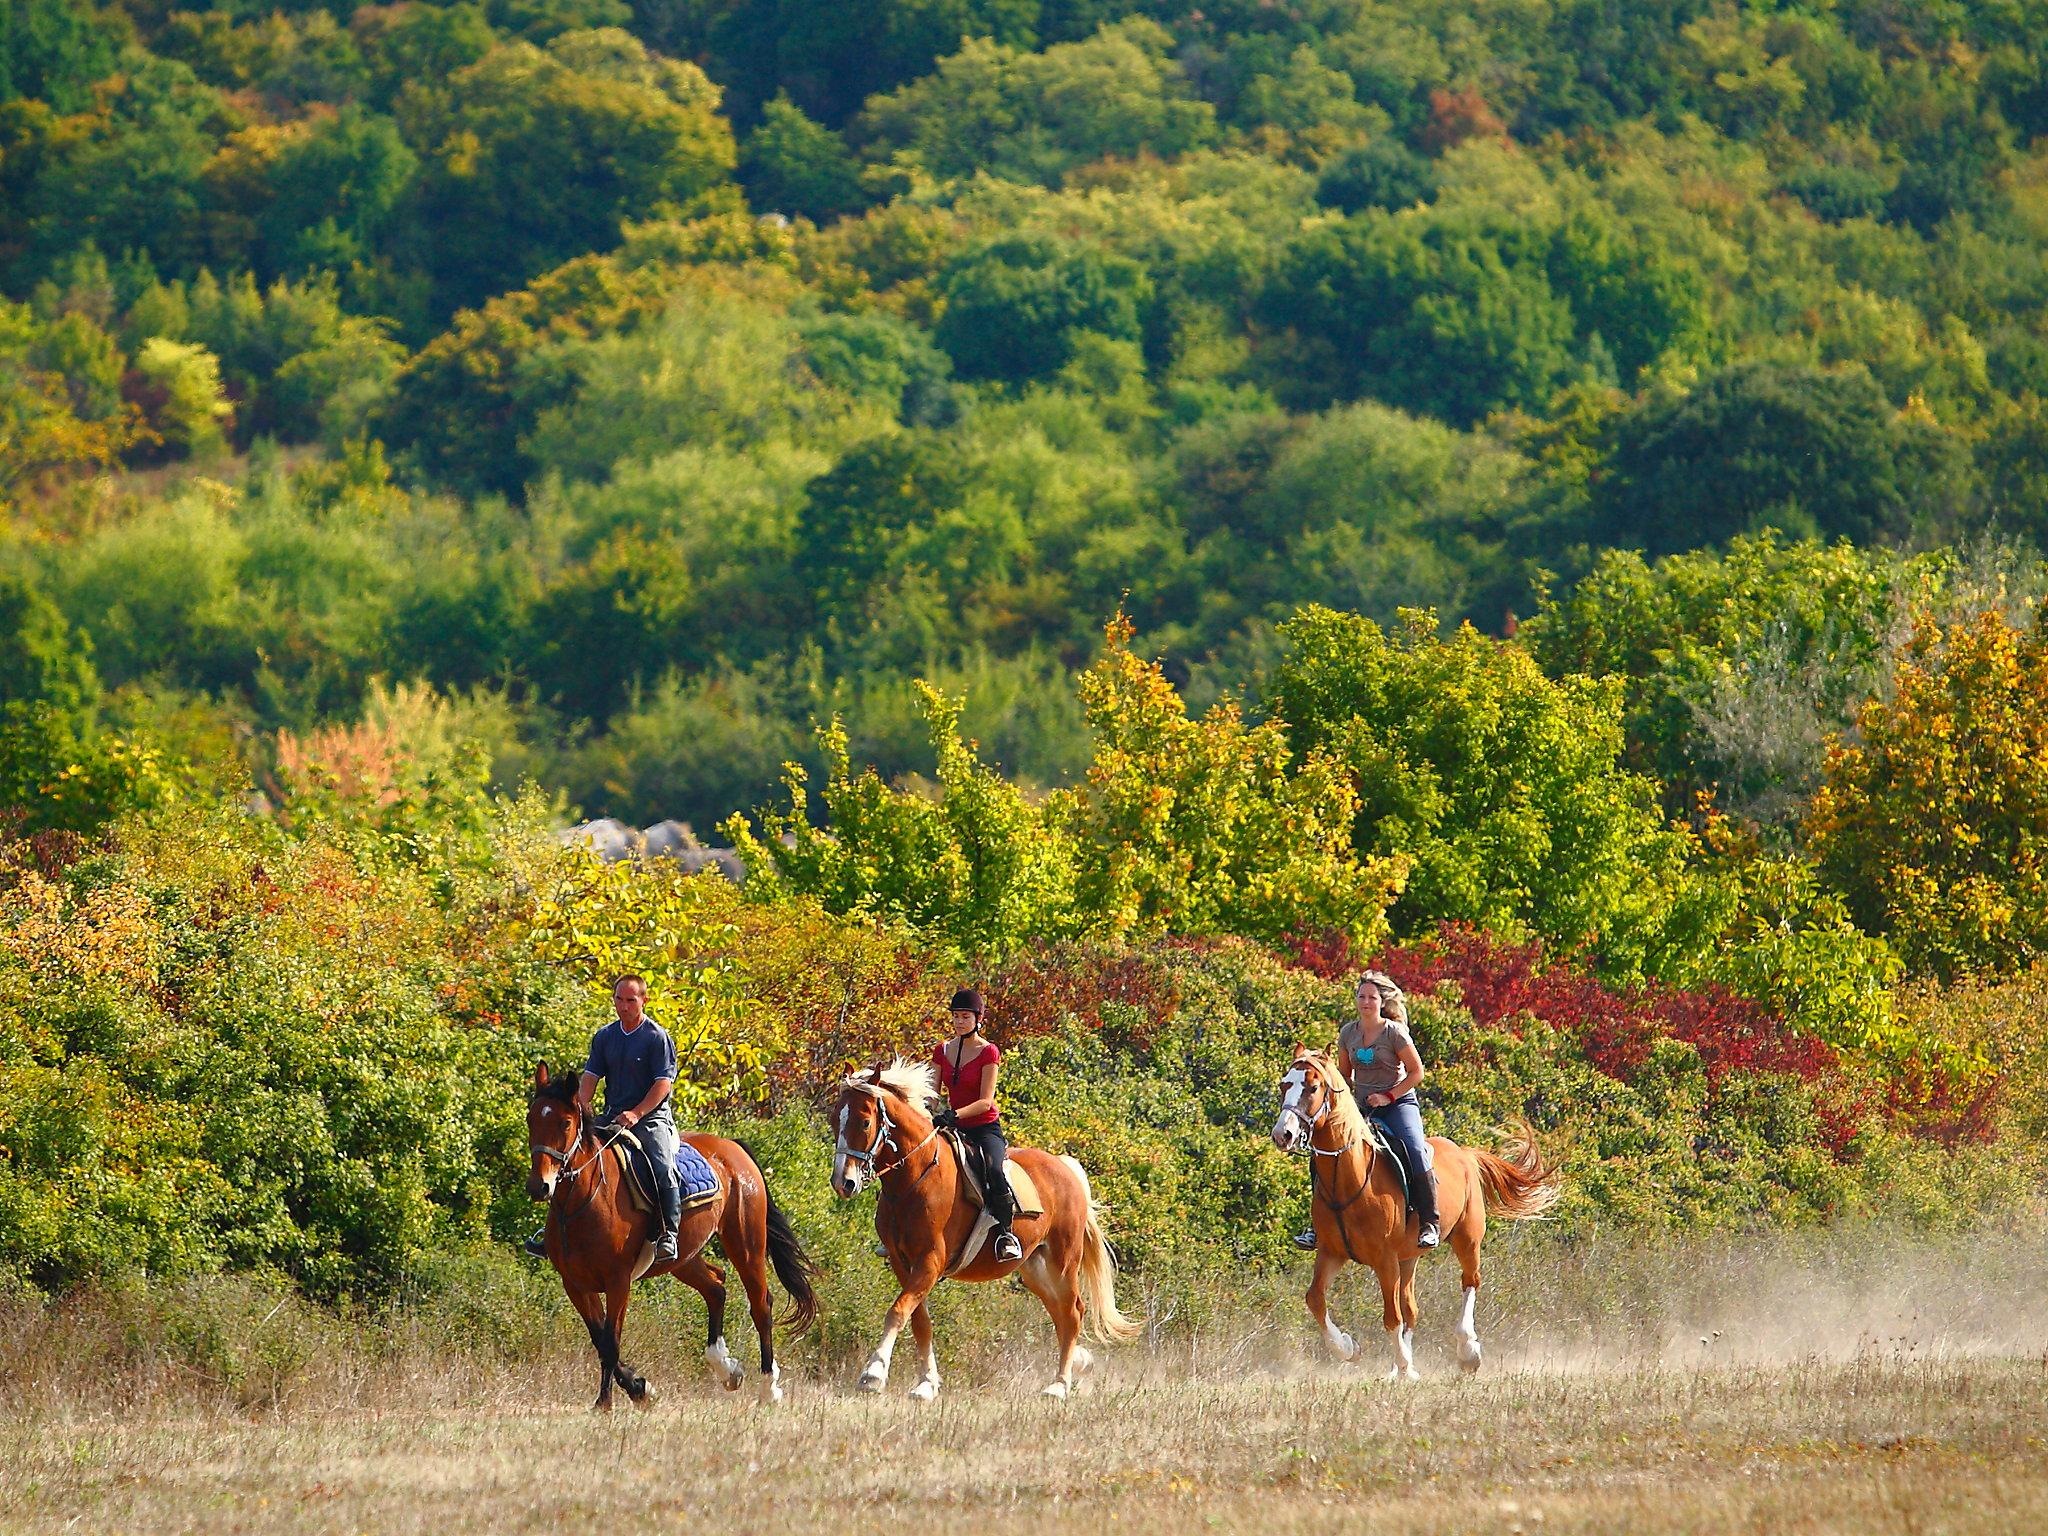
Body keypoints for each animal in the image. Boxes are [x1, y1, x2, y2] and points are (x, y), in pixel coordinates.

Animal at [528, 1064, 823, 1417]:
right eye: (531, 1119)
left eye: (565, 1123)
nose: (539, 1187)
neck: (584, 1201)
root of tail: (733, 1148)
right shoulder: (575, 1284)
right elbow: (599, 1339)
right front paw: (641, 1389)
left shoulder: (618, 1281)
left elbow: (610, 1342)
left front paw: (606, 1402)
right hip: (684, 1258)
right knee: (716, 1287)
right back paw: (726, 1368)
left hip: (746, 1245)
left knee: (761, 1305)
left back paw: (768, 1388)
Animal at [831, 1064, 1155, 1400]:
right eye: (833, 1119)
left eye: (865, 1122)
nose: (844, 1183)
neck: (914, 1179)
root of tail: (1066, 1167)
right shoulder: (901, 1261)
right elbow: (920, 1320)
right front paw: (926, 1384)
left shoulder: (930, 1262)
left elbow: (898, 1311)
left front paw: (873, 1373)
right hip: (1033, 1267)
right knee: (1060, 1313)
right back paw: (1076, 1363)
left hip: (1063, 1261)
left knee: (1073, 1311)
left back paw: (1059, 1385)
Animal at [1269, 1048, 1556, 1384]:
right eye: (1284, 1085)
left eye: (1313, 1088)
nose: (1283, 1134)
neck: (1349, 1178)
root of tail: (1465, 1153)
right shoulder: (1332, 1252)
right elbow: (1315, 1299)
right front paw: (1350, 1349)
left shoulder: (1384, 1259)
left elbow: (1391, 1316)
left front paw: (1405, 1365)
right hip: (1408, 1257)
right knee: (1411, 1308)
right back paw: (1400, 1368)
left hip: (1467, 1238)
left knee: (1469, 1283)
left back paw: (1467, 1352)